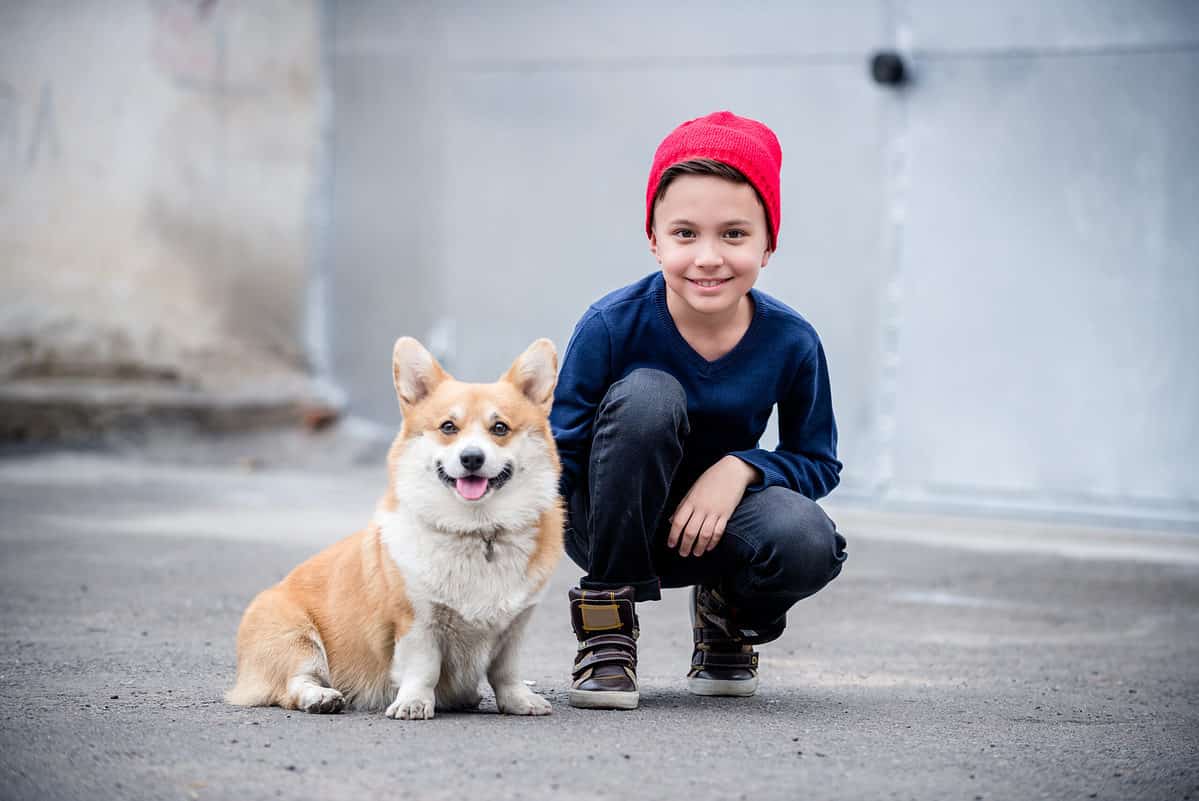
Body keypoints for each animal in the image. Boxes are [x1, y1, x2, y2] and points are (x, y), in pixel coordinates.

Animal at [226, 338, 563, 719]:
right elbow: (424, 667)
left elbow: (506, 670)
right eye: (448, 427)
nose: (472, 458)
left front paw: (519, 700)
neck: (478, 530)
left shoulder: (516, 626)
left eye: (500, 428)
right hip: (295, 639)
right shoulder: (415, 620)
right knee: (294, 683)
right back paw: (321, 697)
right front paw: (414, 702)